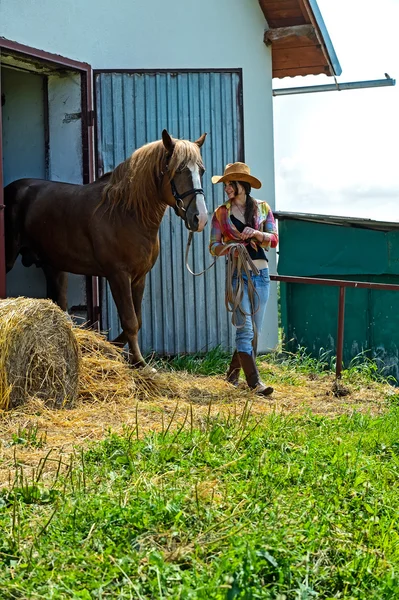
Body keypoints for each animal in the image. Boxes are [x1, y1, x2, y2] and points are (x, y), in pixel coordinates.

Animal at [4, 127, 208, 366]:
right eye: (179, 171)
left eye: (201, 171)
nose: (200, 218)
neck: (126, 214)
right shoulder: (117, 275)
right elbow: (130, 320)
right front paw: (140, 363)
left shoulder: (139, 277)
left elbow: (137, 319)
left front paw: (115, 348)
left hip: (52, 266)